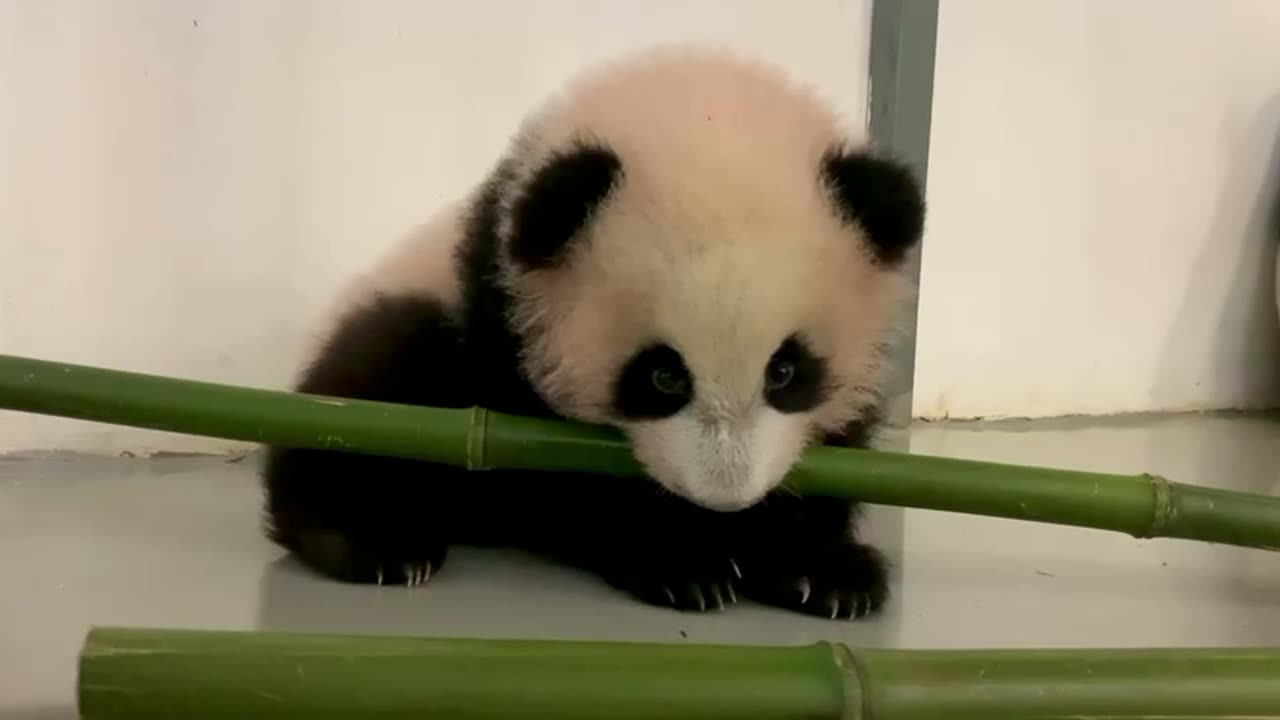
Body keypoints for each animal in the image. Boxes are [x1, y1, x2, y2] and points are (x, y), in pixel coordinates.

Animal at [259, 44, 921, 617]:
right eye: (662, 376)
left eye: (785, 371)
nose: (724, 498)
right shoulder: (501, 335)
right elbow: (563, 486)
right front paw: (685, 562)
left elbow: (833, 461)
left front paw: (823, 572)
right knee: (369, 397)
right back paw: (373, 542)